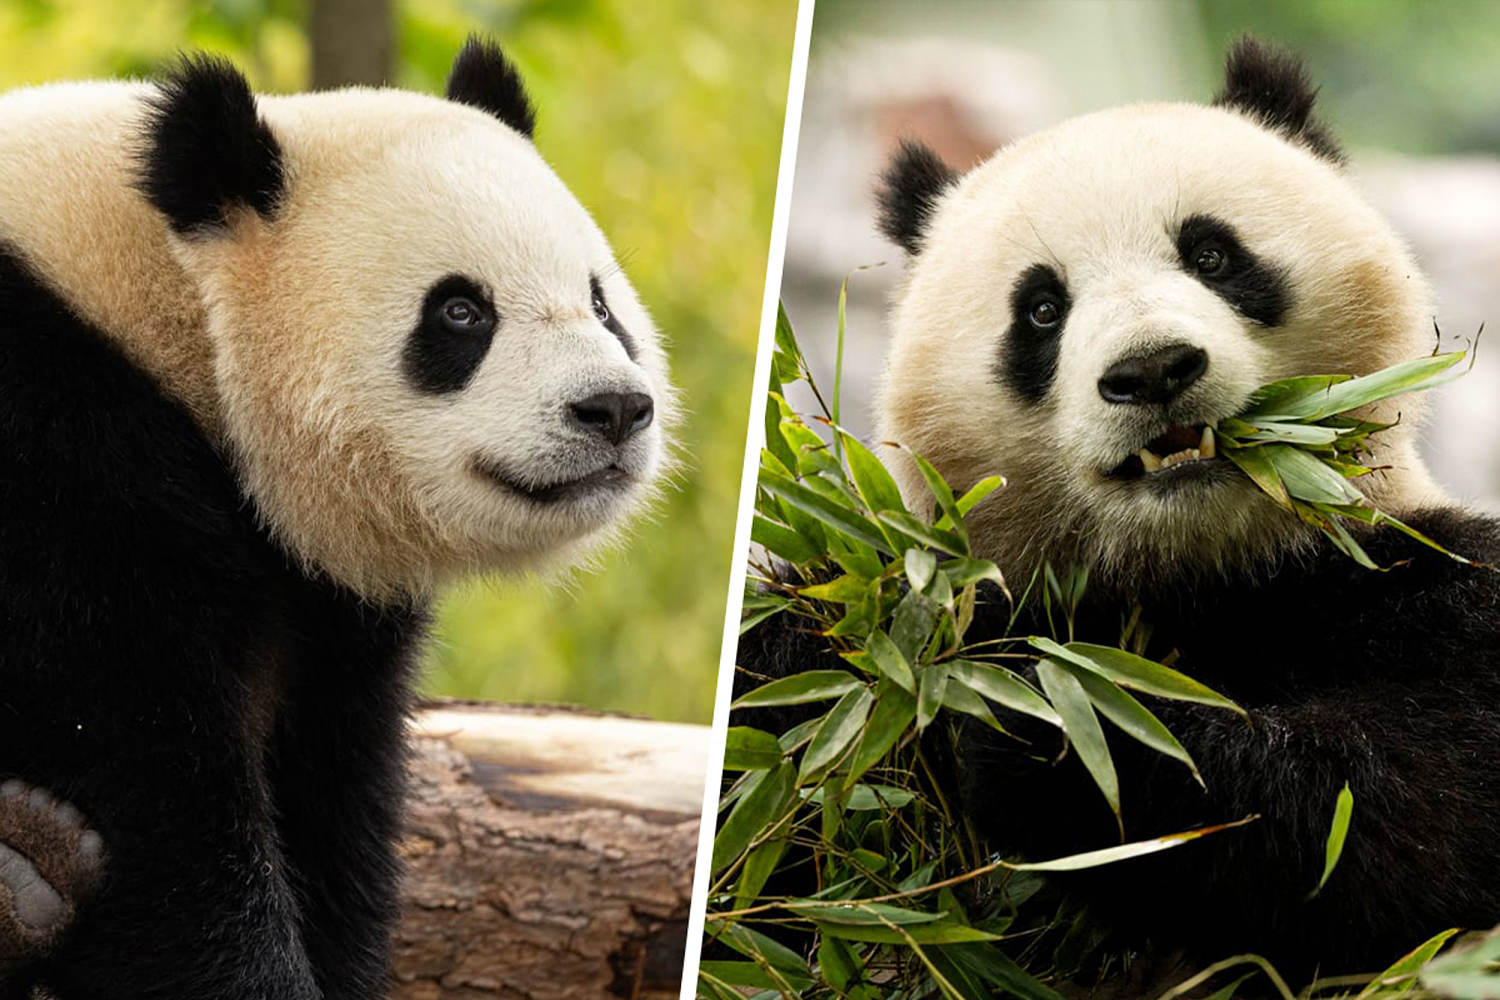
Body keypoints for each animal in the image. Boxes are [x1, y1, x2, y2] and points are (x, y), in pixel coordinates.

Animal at [0, 37, 672, 999]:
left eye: (602, 302)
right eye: (460, 311)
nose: (614, 409)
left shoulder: (325, 612)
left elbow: (330, 803)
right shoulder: (54, 464)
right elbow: (143, 783)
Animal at [739, 37, 1500, 983]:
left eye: (1212, 256)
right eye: (1040, 309)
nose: (1153, 370)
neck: (1191, 571)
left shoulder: (1423, 586)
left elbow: (1398, 813)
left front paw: (1044, 724)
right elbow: (788, 730)